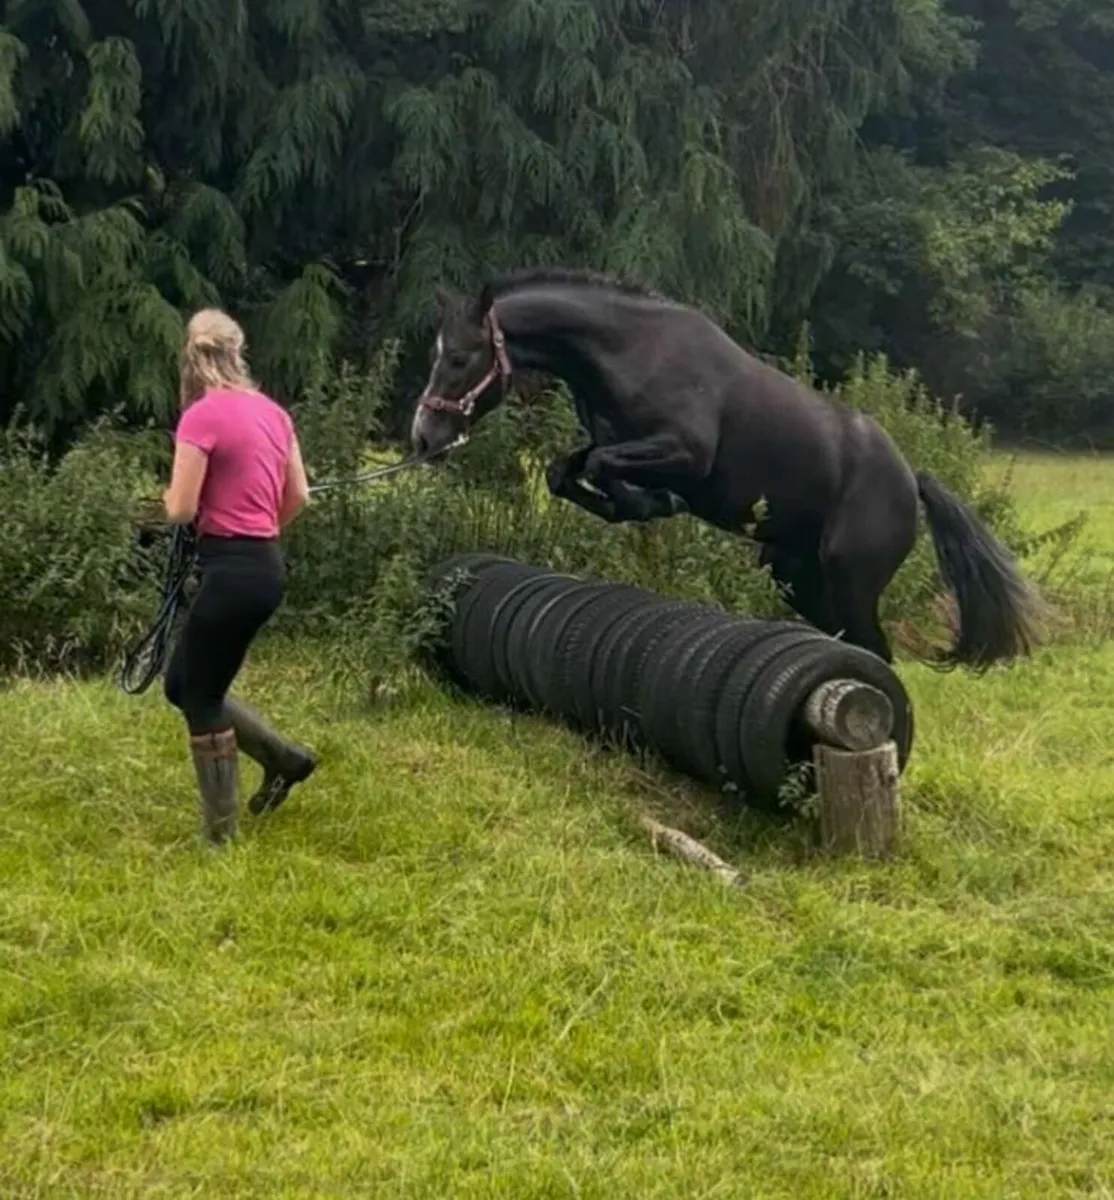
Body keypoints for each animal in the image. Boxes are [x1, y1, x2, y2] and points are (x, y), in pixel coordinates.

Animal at [409, 267, 1041, 668]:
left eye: (459, 358)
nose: (423, 437)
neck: (631, 349)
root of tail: (912, 480)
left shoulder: (685, 454)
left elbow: (610, 470)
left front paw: (652, 503)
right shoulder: (617, 443)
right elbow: (566, 472)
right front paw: (634, 502)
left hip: (849, 579)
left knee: (875, 653)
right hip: (795, 575)